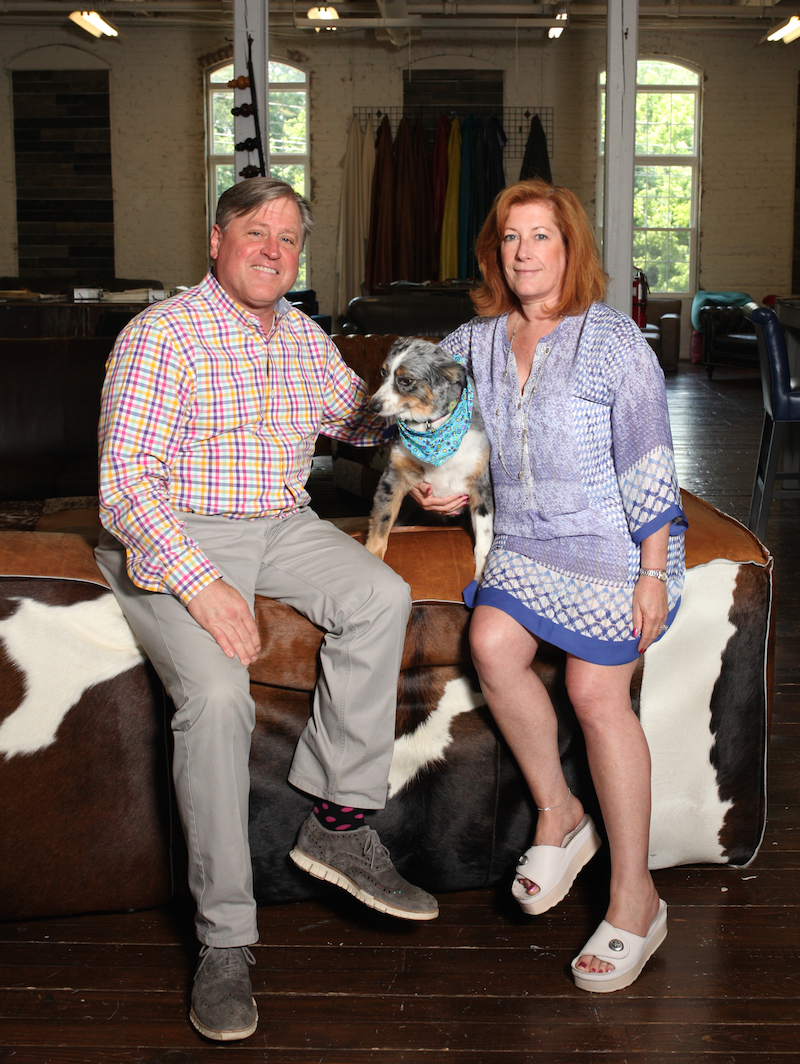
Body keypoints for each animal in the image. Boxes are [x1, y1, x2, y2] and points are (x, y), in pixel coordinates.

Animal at [363, 336, 491, 578]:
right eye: (383, 373)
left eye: (406, 380)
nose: (373, 405)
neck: (431, 428)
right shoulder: (393, 477)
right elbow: (382, 522)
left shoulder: (481, 484)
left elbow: (485, 536)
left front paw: (481, 575)